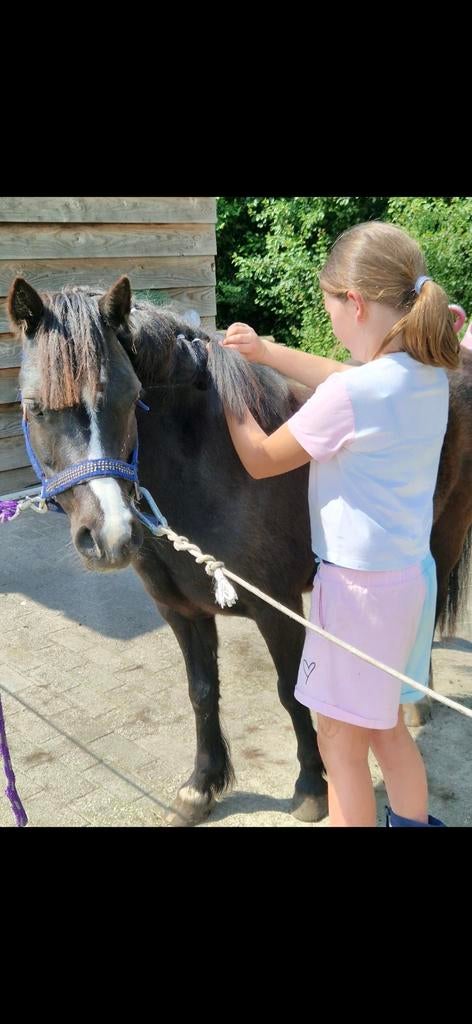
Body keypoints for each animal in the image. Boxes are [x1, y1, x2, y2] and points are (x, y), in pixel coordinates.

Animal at [8, 276, 472, 823]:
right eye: (34, 406)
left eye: (132, 396)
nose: (111, 535)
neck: (207, 463)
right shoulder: (180, 612)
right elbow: (202, 692)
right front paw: (201, 786)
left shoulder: (279, 609)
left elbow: (291, 691)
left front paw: (311, 785)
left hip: (445, 533)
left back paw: (415, 701)